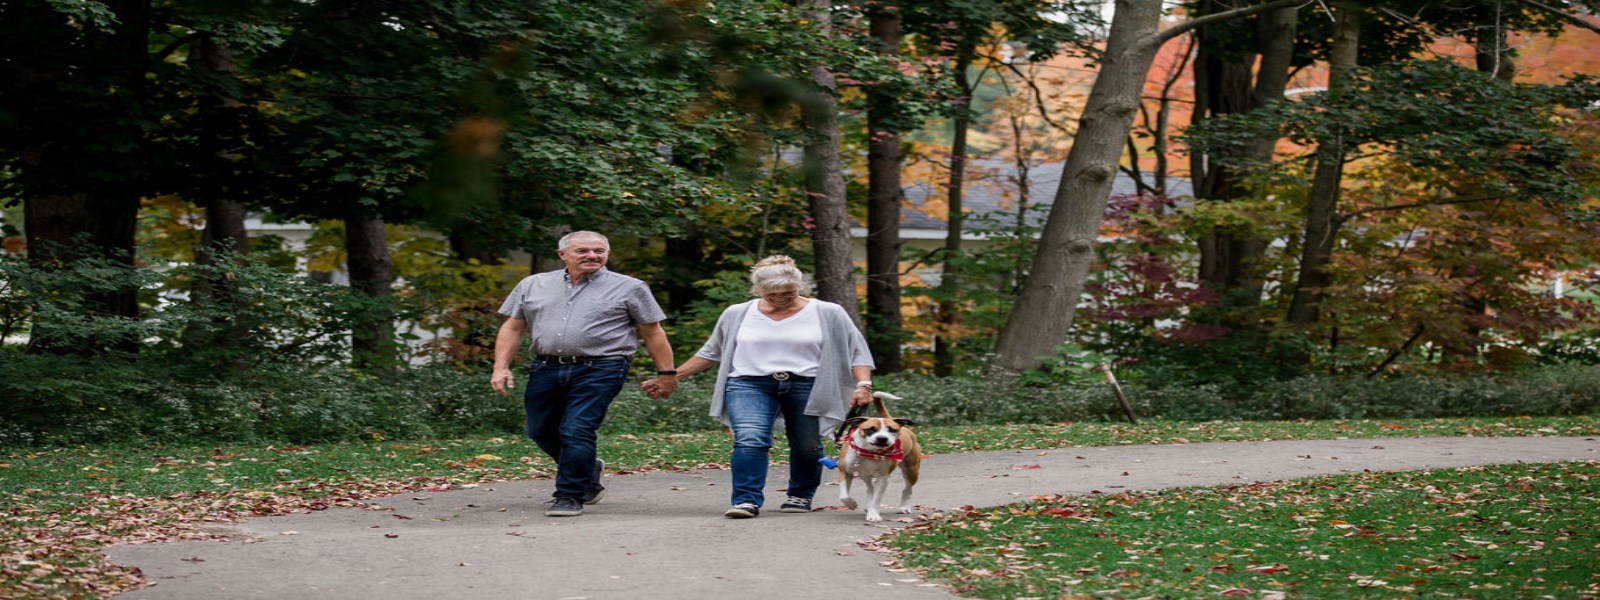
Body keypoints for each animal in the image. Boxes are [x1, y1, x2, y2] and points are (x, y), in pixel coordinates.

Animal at [832, 392, 921, 524]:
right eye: (871, 429)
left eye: (892, 430)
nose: (882, 438)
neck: (870, 452)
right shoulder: (845, 471)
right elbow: (844, 495)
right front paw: (851, 504)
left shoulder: (883, 478)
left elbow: (877, 498)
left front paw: (873, 515)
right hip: (865, 475)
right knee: (870, 489)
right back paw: (867, 505)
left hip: (911, 470)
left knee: (907, 489)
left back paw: (904, 507)